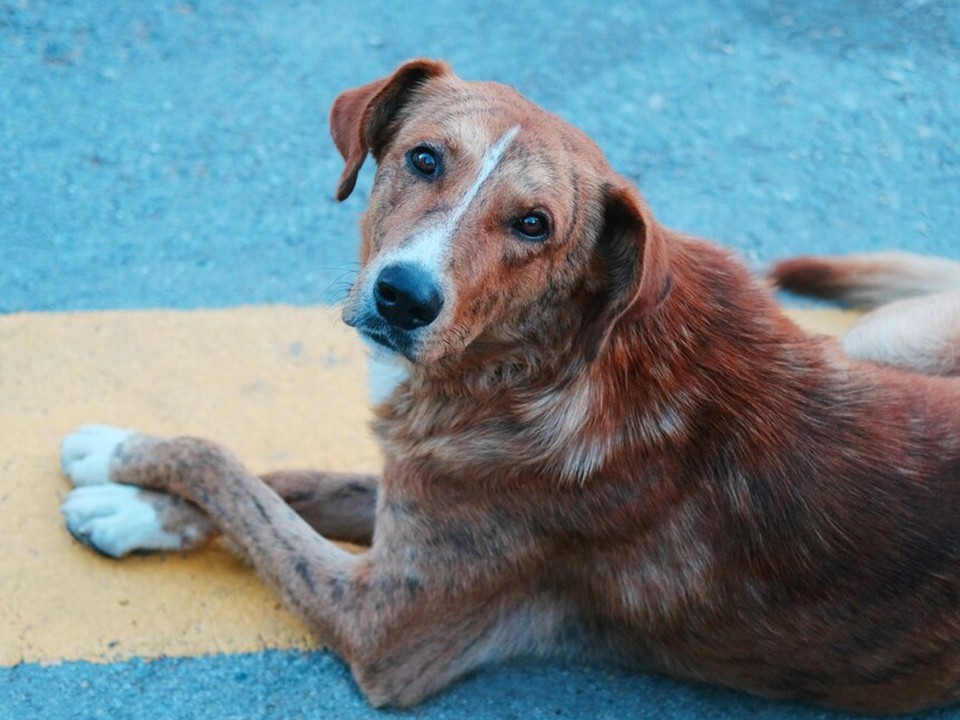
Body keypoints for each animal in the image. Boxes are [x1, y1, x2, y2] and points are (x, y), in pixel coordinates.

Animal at [58, 59, 960, 712]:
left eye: (534, 225)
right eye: (424, 159)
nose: (404, 297)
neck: (543, 363)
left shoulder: (383, 625)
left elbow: (228, 470)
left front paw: (126, 462)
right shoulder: (419, 488)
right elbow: (287, 480)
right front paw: (133, 495)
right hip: (881, 342)